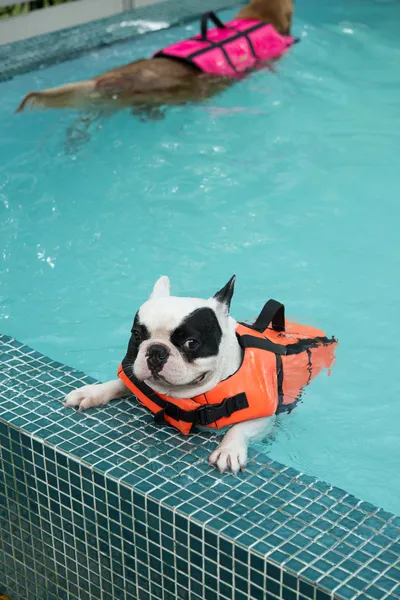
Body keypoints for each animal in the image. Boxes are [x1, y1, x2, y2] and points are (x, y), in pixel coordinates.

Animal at [65, 276, 274, 474]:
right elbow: (119, 383)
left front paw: (229, 450)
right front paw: (91, 392)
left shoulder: (263, 414)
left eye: (191, 343)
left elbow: (241, 428)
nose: (156, 350)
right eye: (137, 334)